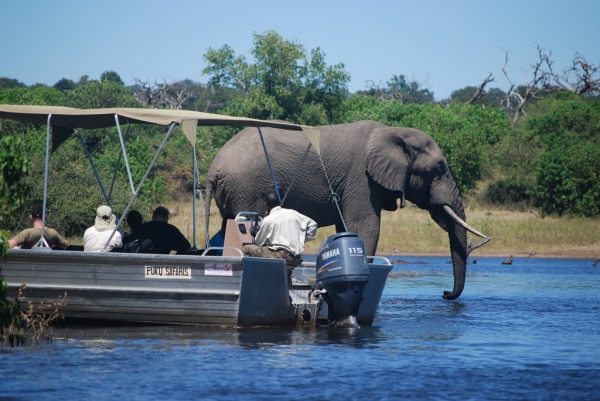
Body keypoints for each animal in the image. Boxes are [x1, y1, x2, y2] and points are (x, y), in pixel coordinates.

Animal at [204, 120, 486, 298]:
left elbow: (347, 227)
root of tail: (213, 169)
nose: (445, 294)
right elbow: (366, 227)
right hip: (247, 187)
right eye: (438, 169)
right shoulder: (362, 180)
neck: (394, 133)